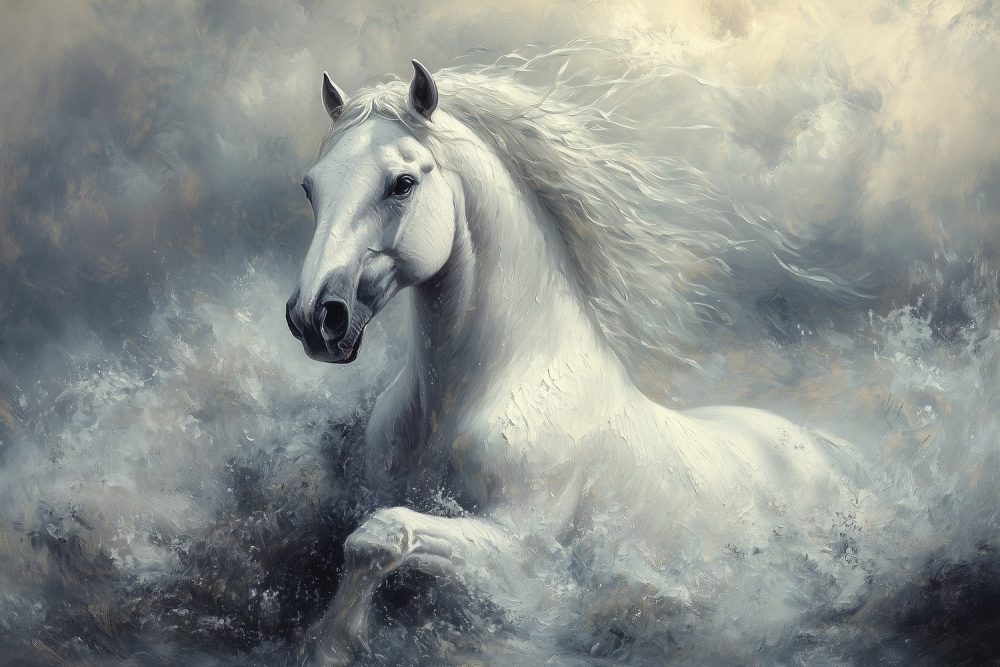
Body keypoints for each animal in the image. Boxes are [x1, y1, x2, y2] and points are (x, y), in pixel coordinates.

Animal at [285, 57, 867, 664]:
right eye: (310, 188)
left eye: (403, 183)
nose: (315, 318)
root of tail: (827, 449)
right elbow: (366, 540)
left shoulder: (521, 565)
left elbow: (379, 535)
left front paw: (332, 643)